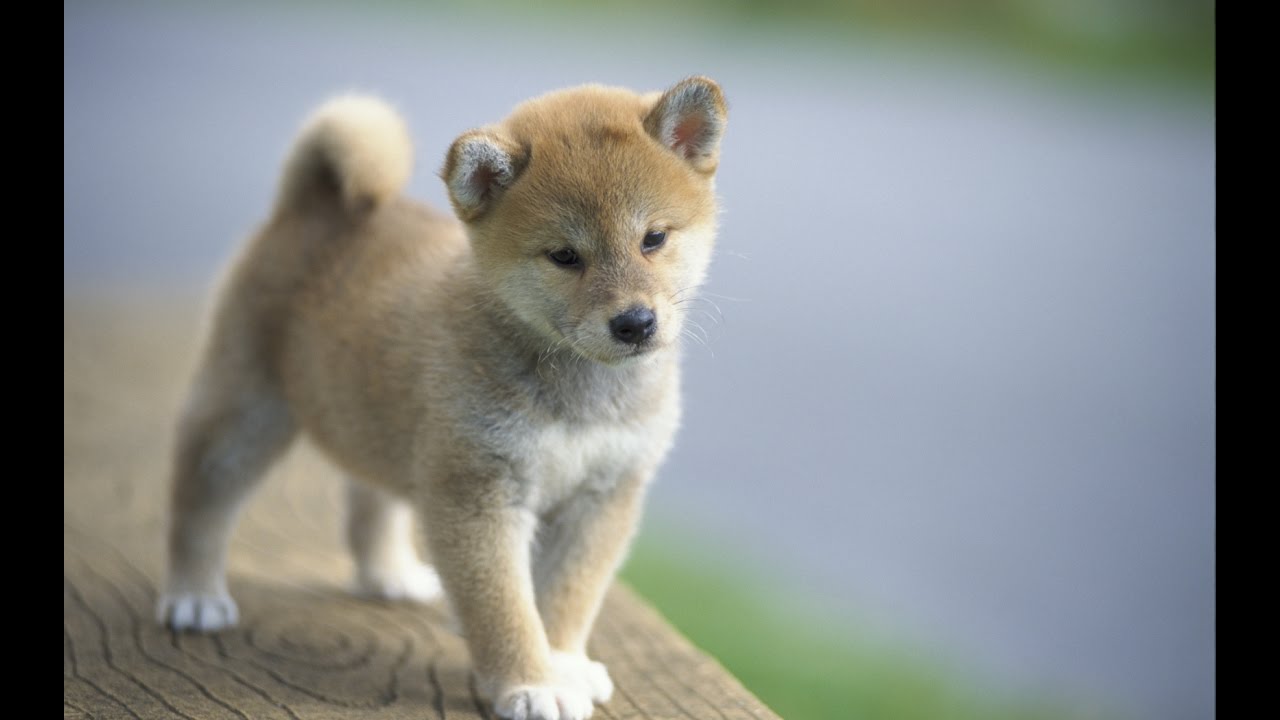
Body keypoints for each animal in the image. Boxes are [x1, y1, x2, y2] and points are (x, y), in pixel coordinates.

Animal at [154, 75, 727, 712]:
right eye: (564, 256)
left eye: (654, 238)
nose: (635, 323)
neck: (579, 391)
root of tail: (314, 205)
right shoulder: (477, 493)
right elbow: (505, 607)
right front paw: (531, 682)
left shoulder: (603, 496)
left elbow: (568, 597)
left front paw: (563, 664)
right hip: (247, 410)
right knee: (200, 496)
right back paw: (193, 596)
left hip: (381, 423)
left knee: (369, 501)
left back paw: (389, 575)